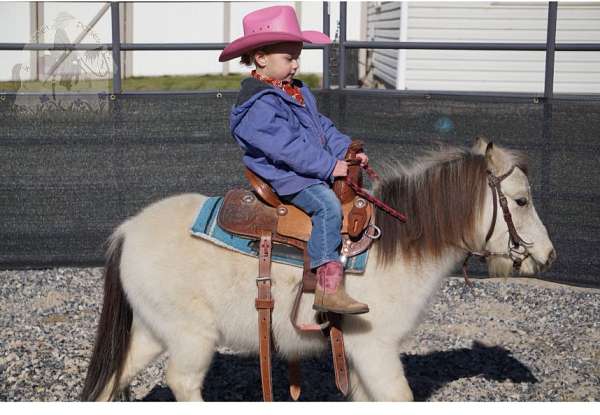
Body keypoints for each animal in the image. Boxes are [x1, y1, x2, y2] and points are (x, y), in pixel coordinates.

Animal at [82, 138, 556, 402]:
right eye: (521, 201)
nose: (549, 255)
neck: (395, 247)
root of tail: (127, 231)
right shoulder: (376, 348)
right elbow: (399, 397)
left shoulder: (362, 357)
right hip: (190, 338)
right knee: (182, 382)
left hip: (151, 332)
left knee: (112, 380)